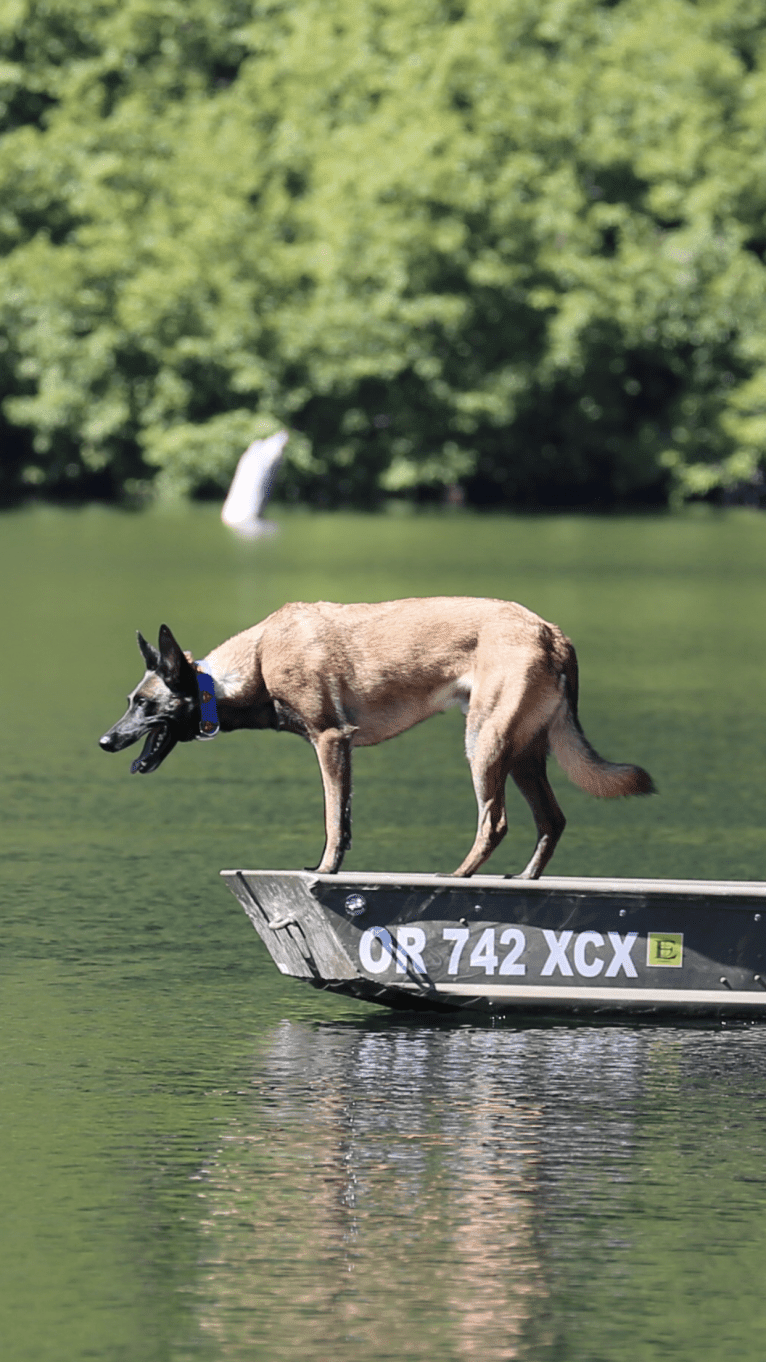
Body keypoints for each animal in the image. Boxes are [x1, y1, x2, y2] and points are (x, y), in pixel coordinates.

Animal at [100, 599, 648, 877]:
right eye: (130, 700)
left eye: (144, 705)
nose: (106, 741)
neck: (255, 662)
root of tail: (551, 631)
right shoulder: (336, 749)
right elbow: (339, 818)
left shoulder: (330, 740)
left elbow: (332, 820)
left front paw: (325, 871)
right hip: (523, 753)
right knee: (551, 820)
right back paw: (525, 879)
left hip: (484, 743)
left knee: (495, 822)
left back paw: (456, 878)